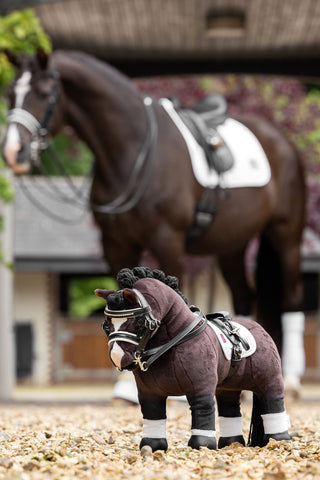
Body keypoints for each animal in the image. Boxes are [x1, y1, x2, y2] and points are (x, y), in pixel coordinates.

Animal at [3, 47, 308, 394]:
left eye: (44, 93)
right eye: (11, 93)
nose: (13, 151)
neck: (134, 153)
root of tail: (282, 142)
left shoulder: (168, 240)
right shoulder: (115, 242)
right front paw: (125, 387)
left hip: (286, 234)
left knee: (292, 297)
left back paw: (292, 379)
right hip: (233, 243)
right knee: (244, 294)